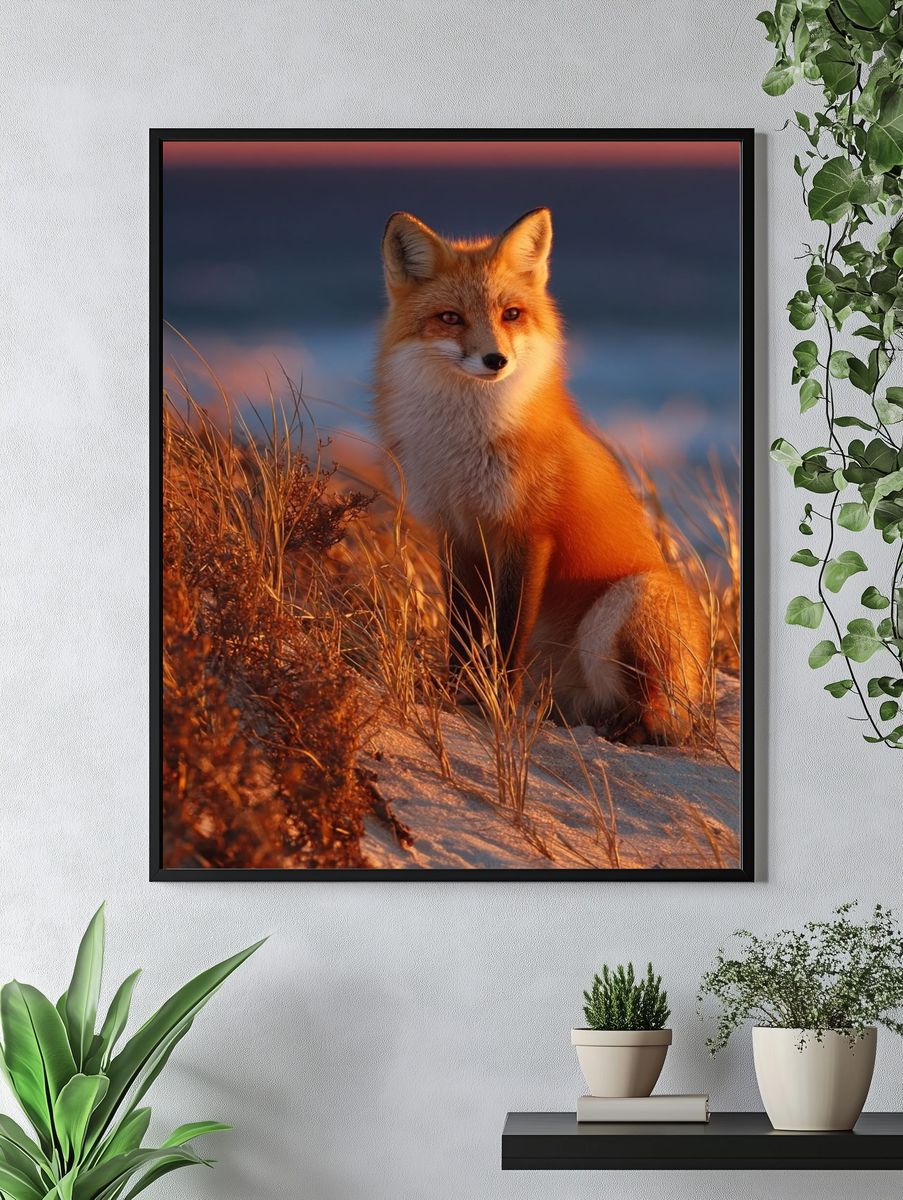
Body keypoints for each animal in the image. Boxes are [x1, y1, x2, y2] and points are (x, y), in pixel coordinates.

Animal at [373, 206, 709, 743]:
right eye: (450, 318)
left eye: (511, 314)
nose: (495, 359)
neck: (464, 446)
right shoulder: (457, 533)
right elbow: (461, 629)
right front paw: (456, 693)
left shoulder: (527, 532)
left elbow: (508, 633)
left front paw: (497, 704)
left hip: (630, 598)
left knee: (661, 722)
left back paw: (623, 729)